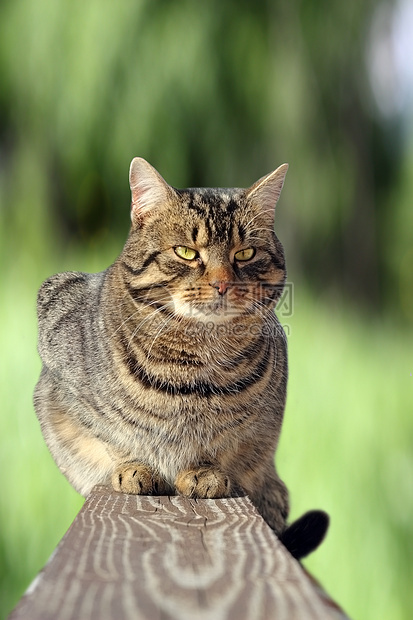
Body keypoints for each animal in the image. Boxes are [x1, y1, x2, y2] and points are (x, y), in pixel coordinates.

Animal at [33, 157, 326, 560]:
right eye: (186, 252)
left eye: (244, 254)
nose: (222, 284)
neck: (197, 358)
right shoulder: (60, 373)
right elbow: (112, 436)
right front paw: (133, 467)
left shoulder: (257, 428)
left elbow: (228, 446)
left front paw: (205, 472)